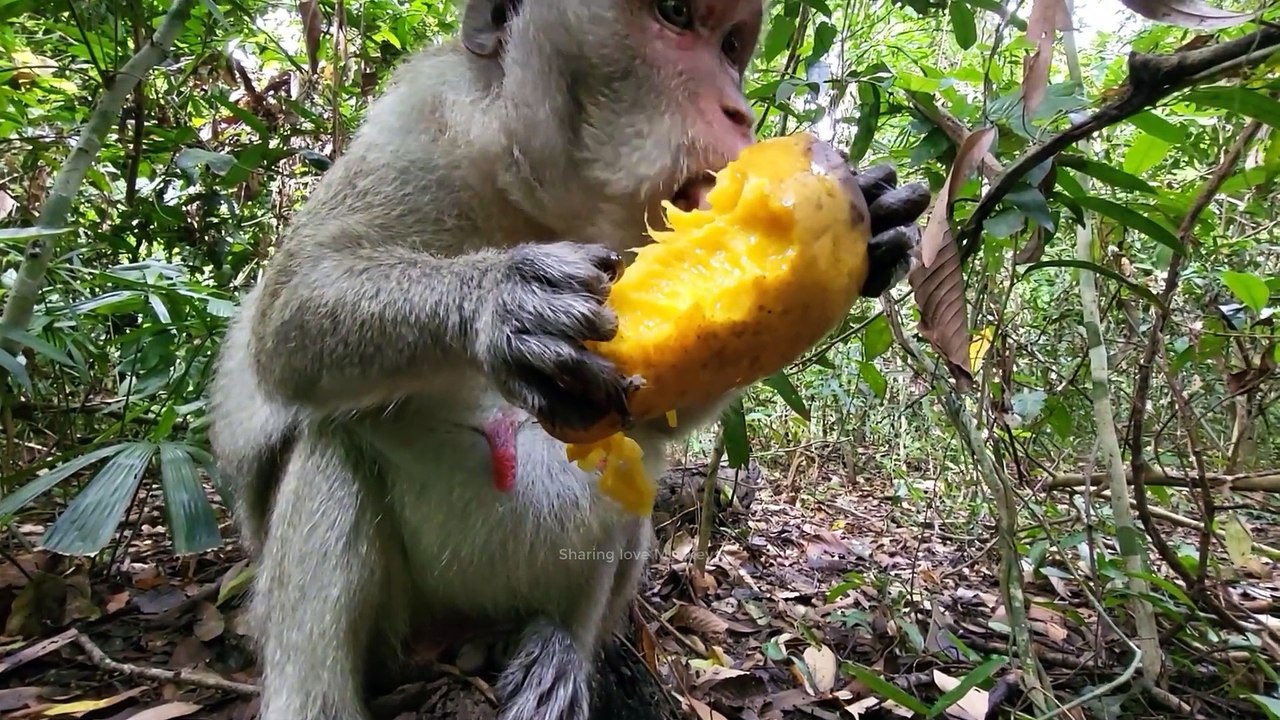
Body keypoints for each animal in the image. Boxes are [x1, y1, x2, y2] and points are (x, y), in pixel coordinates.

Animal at [205, 0, 932, 719]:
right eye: (675, 16)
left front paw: (882, 224)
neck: (545, 204)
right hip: (406, 617)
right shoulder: (418, 122)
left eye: (730, 47)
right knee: (332, 442)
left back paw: (559, 643)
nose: (739, 112)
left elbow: (652, 418)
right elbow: (290, 318)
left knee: (624, 475)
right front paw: (501, 302)